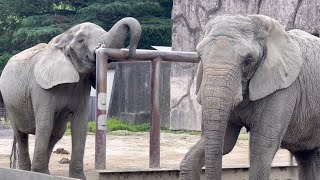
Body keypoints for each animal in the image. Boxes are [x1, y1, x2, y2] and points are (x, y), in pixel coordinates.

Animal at [0, 16, 141, 179]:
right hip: (9, 103)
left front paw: (77, 177)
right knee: (21, 134)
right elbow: (45, 124)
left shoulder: (82, 88)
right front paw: (38, 173)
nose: (131, 51)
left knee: (56, 134)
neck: (62, 38)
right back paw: (25, 171)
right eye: (80, 40)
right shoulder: (40, 88)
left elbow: (80, 126)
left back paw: (45, 172)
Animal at [180, 14, 320, 180]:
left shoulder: (284, 89)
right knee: (306, 156)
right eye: (199, 57)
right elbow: (226, 141)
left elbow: (261, 147)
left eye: (248, 60)